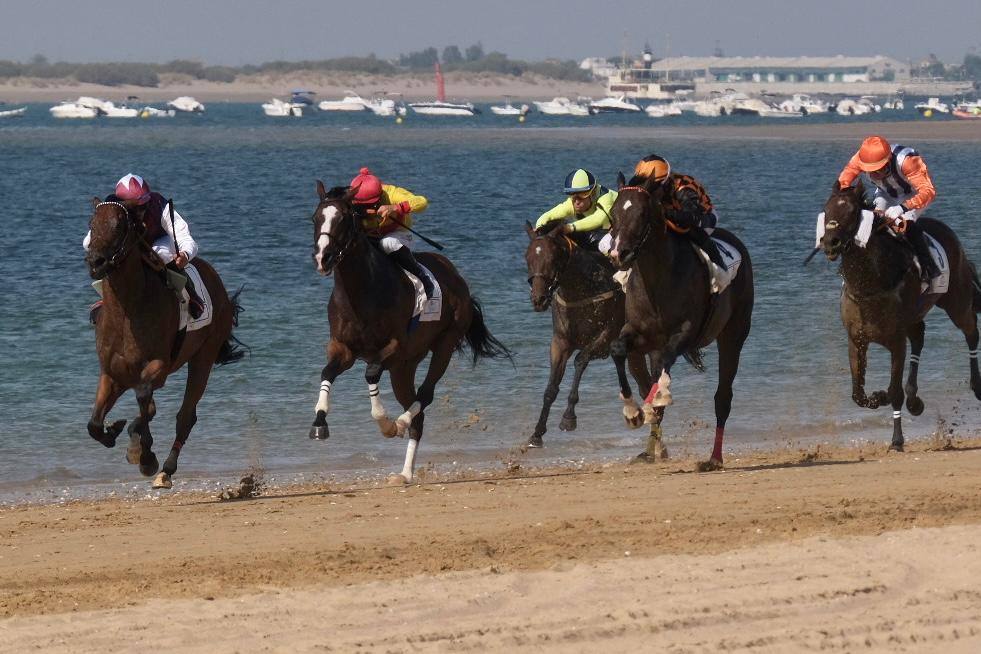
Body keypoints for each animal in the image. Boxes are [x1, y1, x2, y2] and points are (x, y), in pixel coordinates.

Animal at [84, 197, 245, 490]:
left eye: (118, 225)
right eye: (92, 224)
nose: (95, 261)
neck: (127, 312)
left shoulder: (158, 367)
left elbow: (144, 398)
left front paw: (146, 456)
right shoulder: (112, 374)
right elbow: (94, 424)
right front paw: (115, 431)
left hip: (204, 356)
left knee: (185, 415)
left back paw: (166, 470)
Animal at [308, 184, 510, 486]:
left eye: (343, 218)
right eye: (315, 218)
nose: (323, 258)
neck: (362, 291)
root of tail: (455, 275)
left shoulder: (394, 347)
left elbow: (370, 374)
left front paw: (386, 422)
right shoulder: (342, 348)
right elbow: (327, 372)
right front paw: (319, 423)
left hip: (444, 345)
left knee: (425, 396)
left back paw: (400, 424)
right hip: (404, 367)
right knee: (419, 414)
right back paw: (405, 472)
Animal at [520, 223, 660, 454]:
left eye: (553, 258)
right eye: (527, 257)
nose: (538, 299)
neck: (583, 289)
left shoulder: (605, 338)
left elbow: (580, 361)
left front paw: (568, 418)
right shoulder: (560, 343)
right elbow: (551, 388)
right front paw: (536, 434)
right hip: (635, 355)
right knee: (645, 386)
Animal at [600, 170, 756, 472]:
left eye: (641, 213)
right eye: (613, 213)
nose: (617, 254)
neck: (657, 279)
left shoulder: (684, 333)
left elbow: (666, 365)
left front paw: (654, 401)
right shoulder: (639, 334)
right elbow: (617, 349)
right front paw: (633, 410)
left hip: (734, 334)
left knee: (723, 398)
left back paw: (714, 457)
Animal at [816, 183, 980, 452]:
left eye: (851, 212)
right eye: (826, 209)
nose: (830, 242)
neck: (870, 284)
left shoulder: (896, 342)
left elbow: (894, 391)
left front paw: (896, 439)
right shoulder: (856, 340)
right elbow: (857, 394)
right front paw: (877, 397)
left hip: (957, 301)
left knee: (971, 333)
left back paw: (976, 385)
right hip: (916, 317)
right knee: (919, 339)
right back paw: (915, 400)